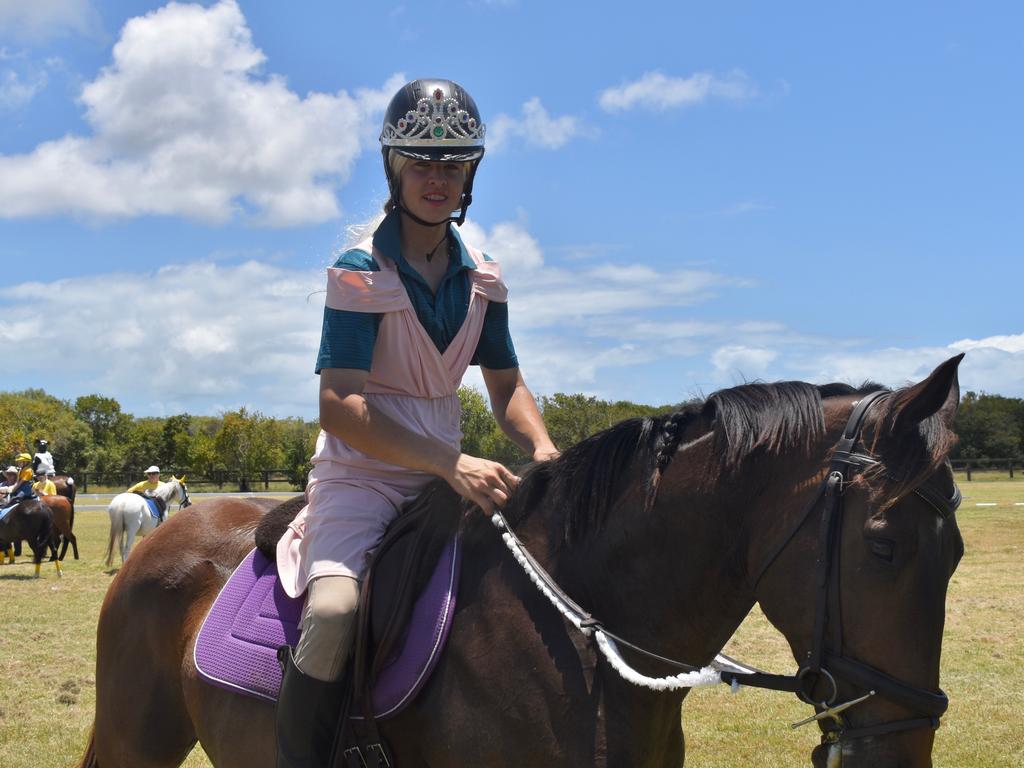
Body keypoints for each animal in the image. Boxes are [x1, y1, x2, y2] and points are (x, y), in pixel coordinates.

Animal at [75, 360, 962, 768]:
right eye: (884, 546)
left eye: (953, 555)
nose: (902, 750)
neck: (589, 639)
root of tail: (163, 530)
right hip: (133, 737)